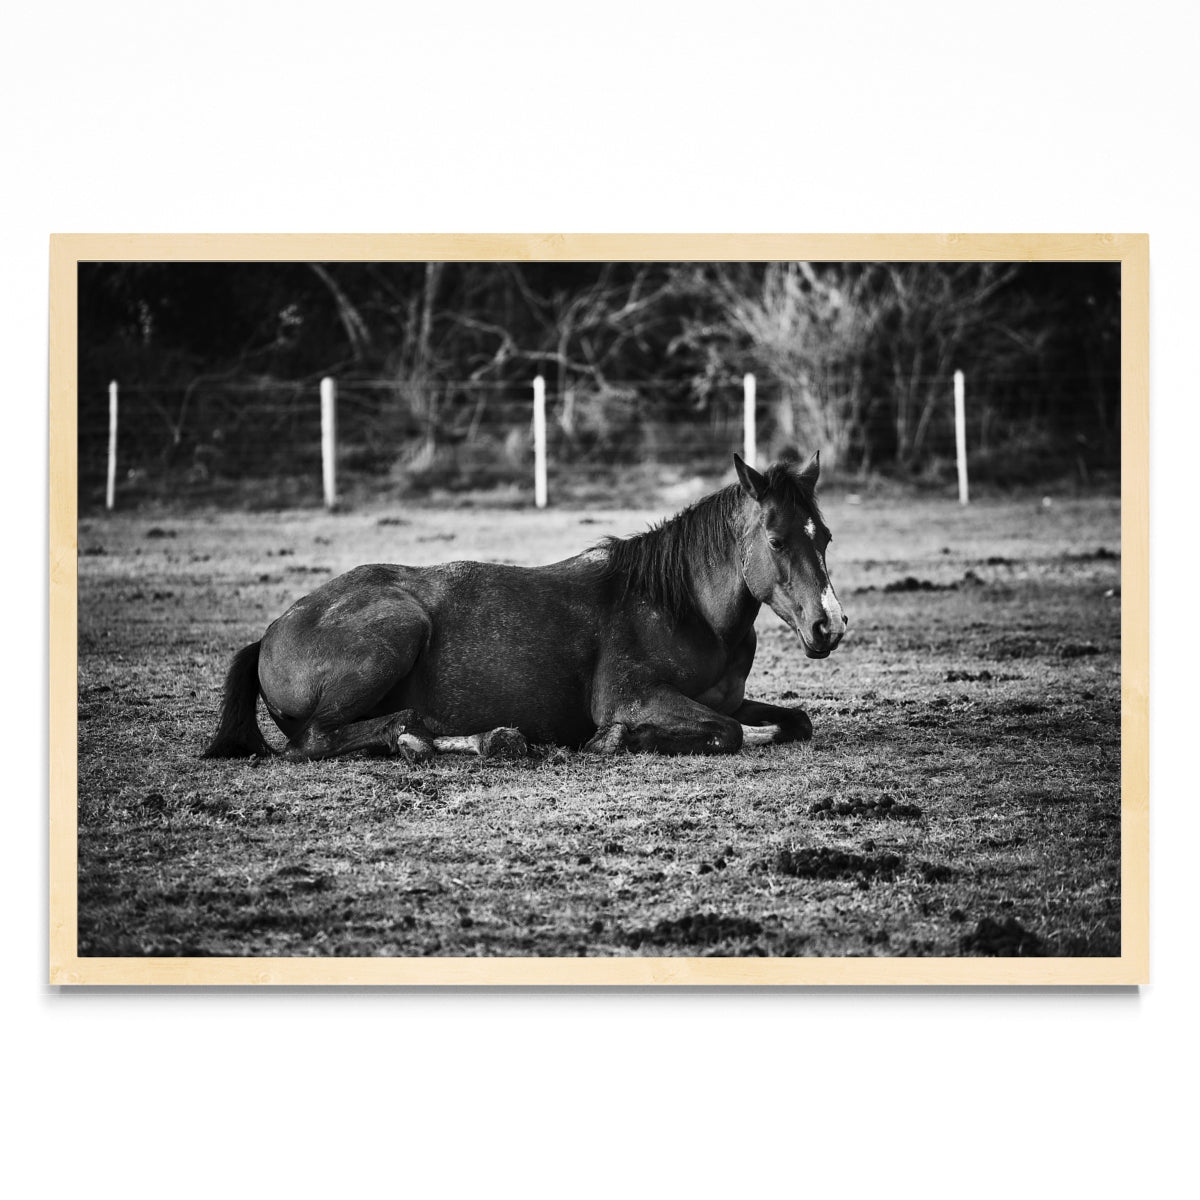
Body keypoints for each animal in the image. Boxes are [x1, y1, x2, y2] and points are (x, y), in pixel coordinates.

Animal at [202, 452, 847, 762]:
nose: (830, 626)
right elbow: (727, 733)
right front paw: (615, 740)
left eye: (825, 536)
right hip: (398, 627)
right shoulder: (632, 697)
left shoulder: (729, 699)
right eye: (776, 540)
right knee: (317, 740)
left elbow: (793, 720)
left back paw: (476, 741)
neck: (683, 610)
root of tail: (271, 632)